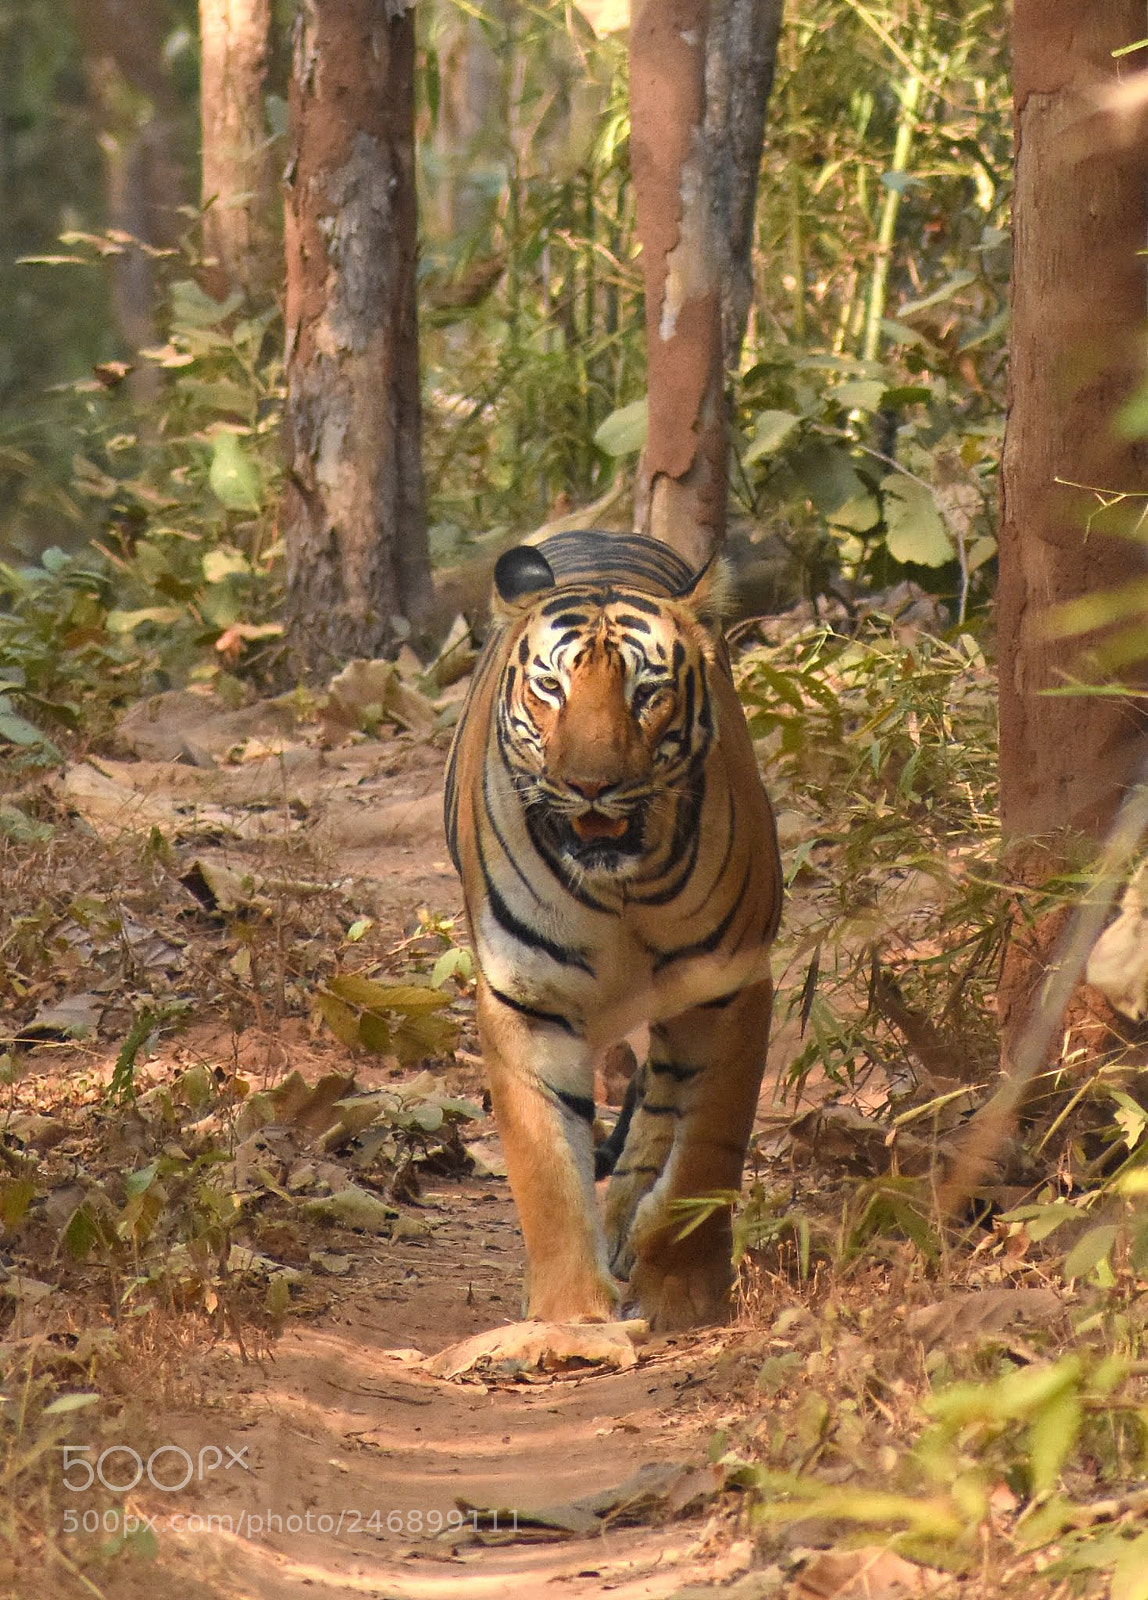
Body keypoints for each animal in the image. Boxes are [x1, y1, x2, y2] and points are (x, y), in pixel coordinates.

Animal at [444, 528, 782, 1332]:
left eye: (646, 693)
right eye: (551, 689)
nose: (591, 785)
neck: (619, 884)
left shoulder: (731, 984)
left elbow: (708, 1150)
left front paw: (685, 1291)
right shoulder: (528, 1000)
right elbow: (545, 1167)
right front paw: (569, 1312)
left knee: (662, 1099)